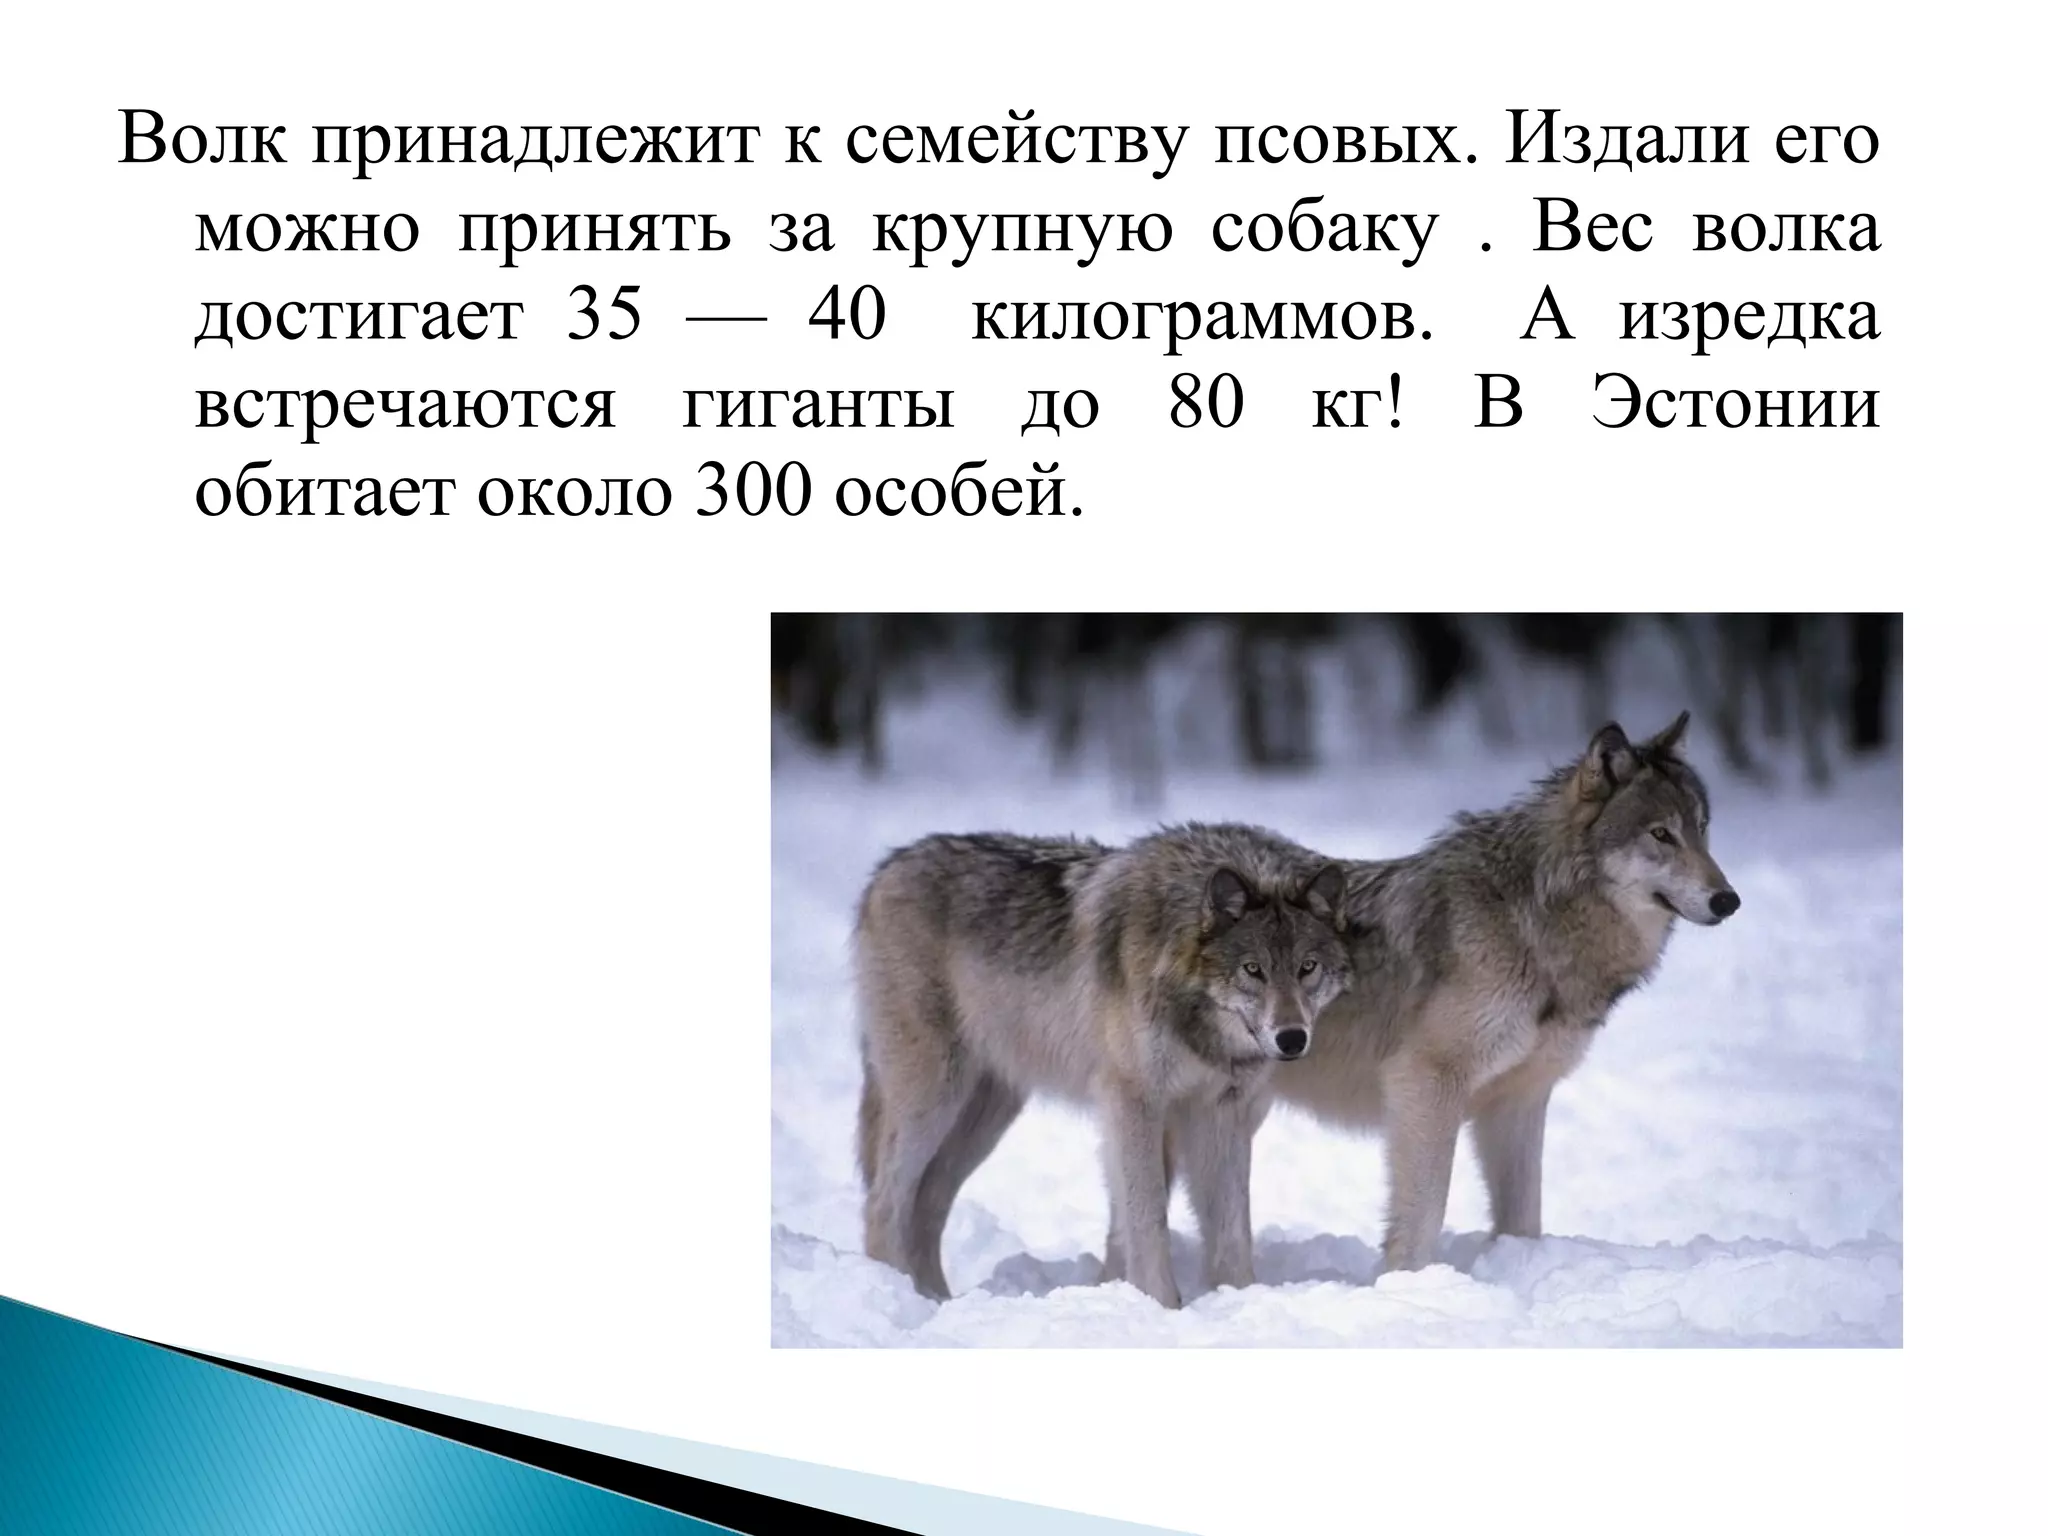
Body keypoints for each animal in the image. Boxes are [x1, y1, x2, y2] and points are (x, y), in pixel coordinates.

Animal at [854, 825, 1353, 1308]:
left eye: (1307, 967)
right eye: (1253, 970)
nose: (1292, 1038)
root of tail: (886, 869)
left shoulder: (1221, 1113)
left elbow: (1233, 1229)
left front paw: (1241, 1298)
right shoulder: (1133, 1101)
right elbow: (1147, 1217)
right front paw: (1161, 1305)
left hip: (987, 1116)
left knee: (926, 1203)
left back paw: (937, 1299)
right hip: (935, 1097)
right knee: (883, 1202)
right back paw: (903, 1295)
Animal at [1225, 712, 1738, 1274]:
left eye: (1702, 829)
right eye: (1661, 834)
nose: (1729, 900)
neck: (1532, 925)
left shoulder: (1518, 1100)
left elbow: (1524, 1218)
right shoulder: (1425, 1081)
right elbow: (1423, 1216)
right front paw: (1407, 1283)